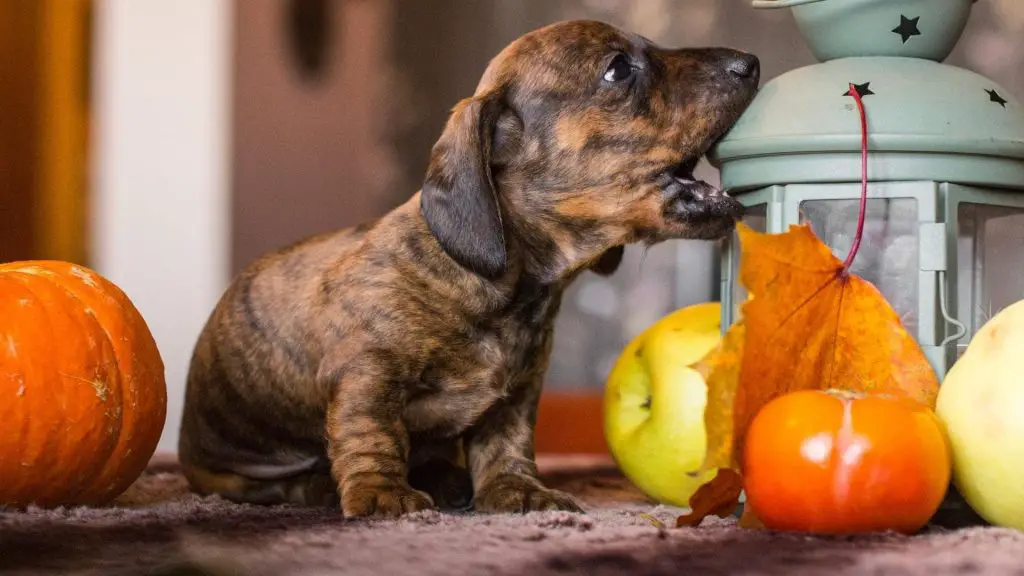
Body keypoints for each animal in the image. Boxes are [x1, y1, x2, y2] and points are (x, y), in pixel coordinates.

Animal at [178, 19, 761, 516]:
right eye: (617, 68)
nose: (750, 62)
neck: (503, 287)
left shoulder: (517, 395)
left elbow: (506, 445)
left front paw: (517, 490)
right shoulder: (366, 374)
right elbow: (373, 435)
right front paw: (383, 494)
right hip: (229, 473)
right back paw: (324, 486)